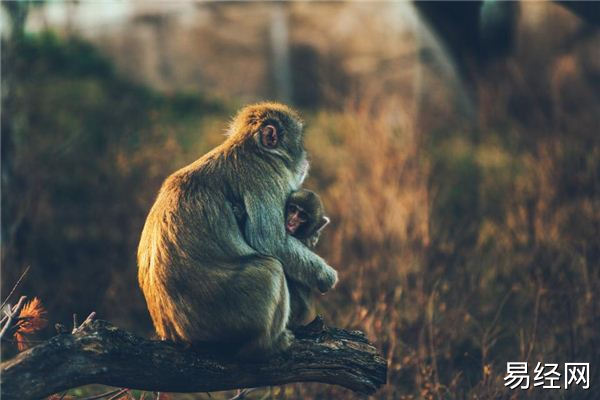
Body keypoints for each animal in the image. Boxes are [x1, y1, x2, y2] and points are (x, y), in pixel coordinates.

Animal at [138, 101, 340, 356]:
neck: (252, 149)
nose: (306, 159)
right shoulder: (264, 177)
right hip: (230, 318)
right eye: (298, 142)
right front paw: (326, 276)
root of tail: (178, 336)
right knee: (271, 268)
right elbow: (270, 241)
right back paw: (269, 344)